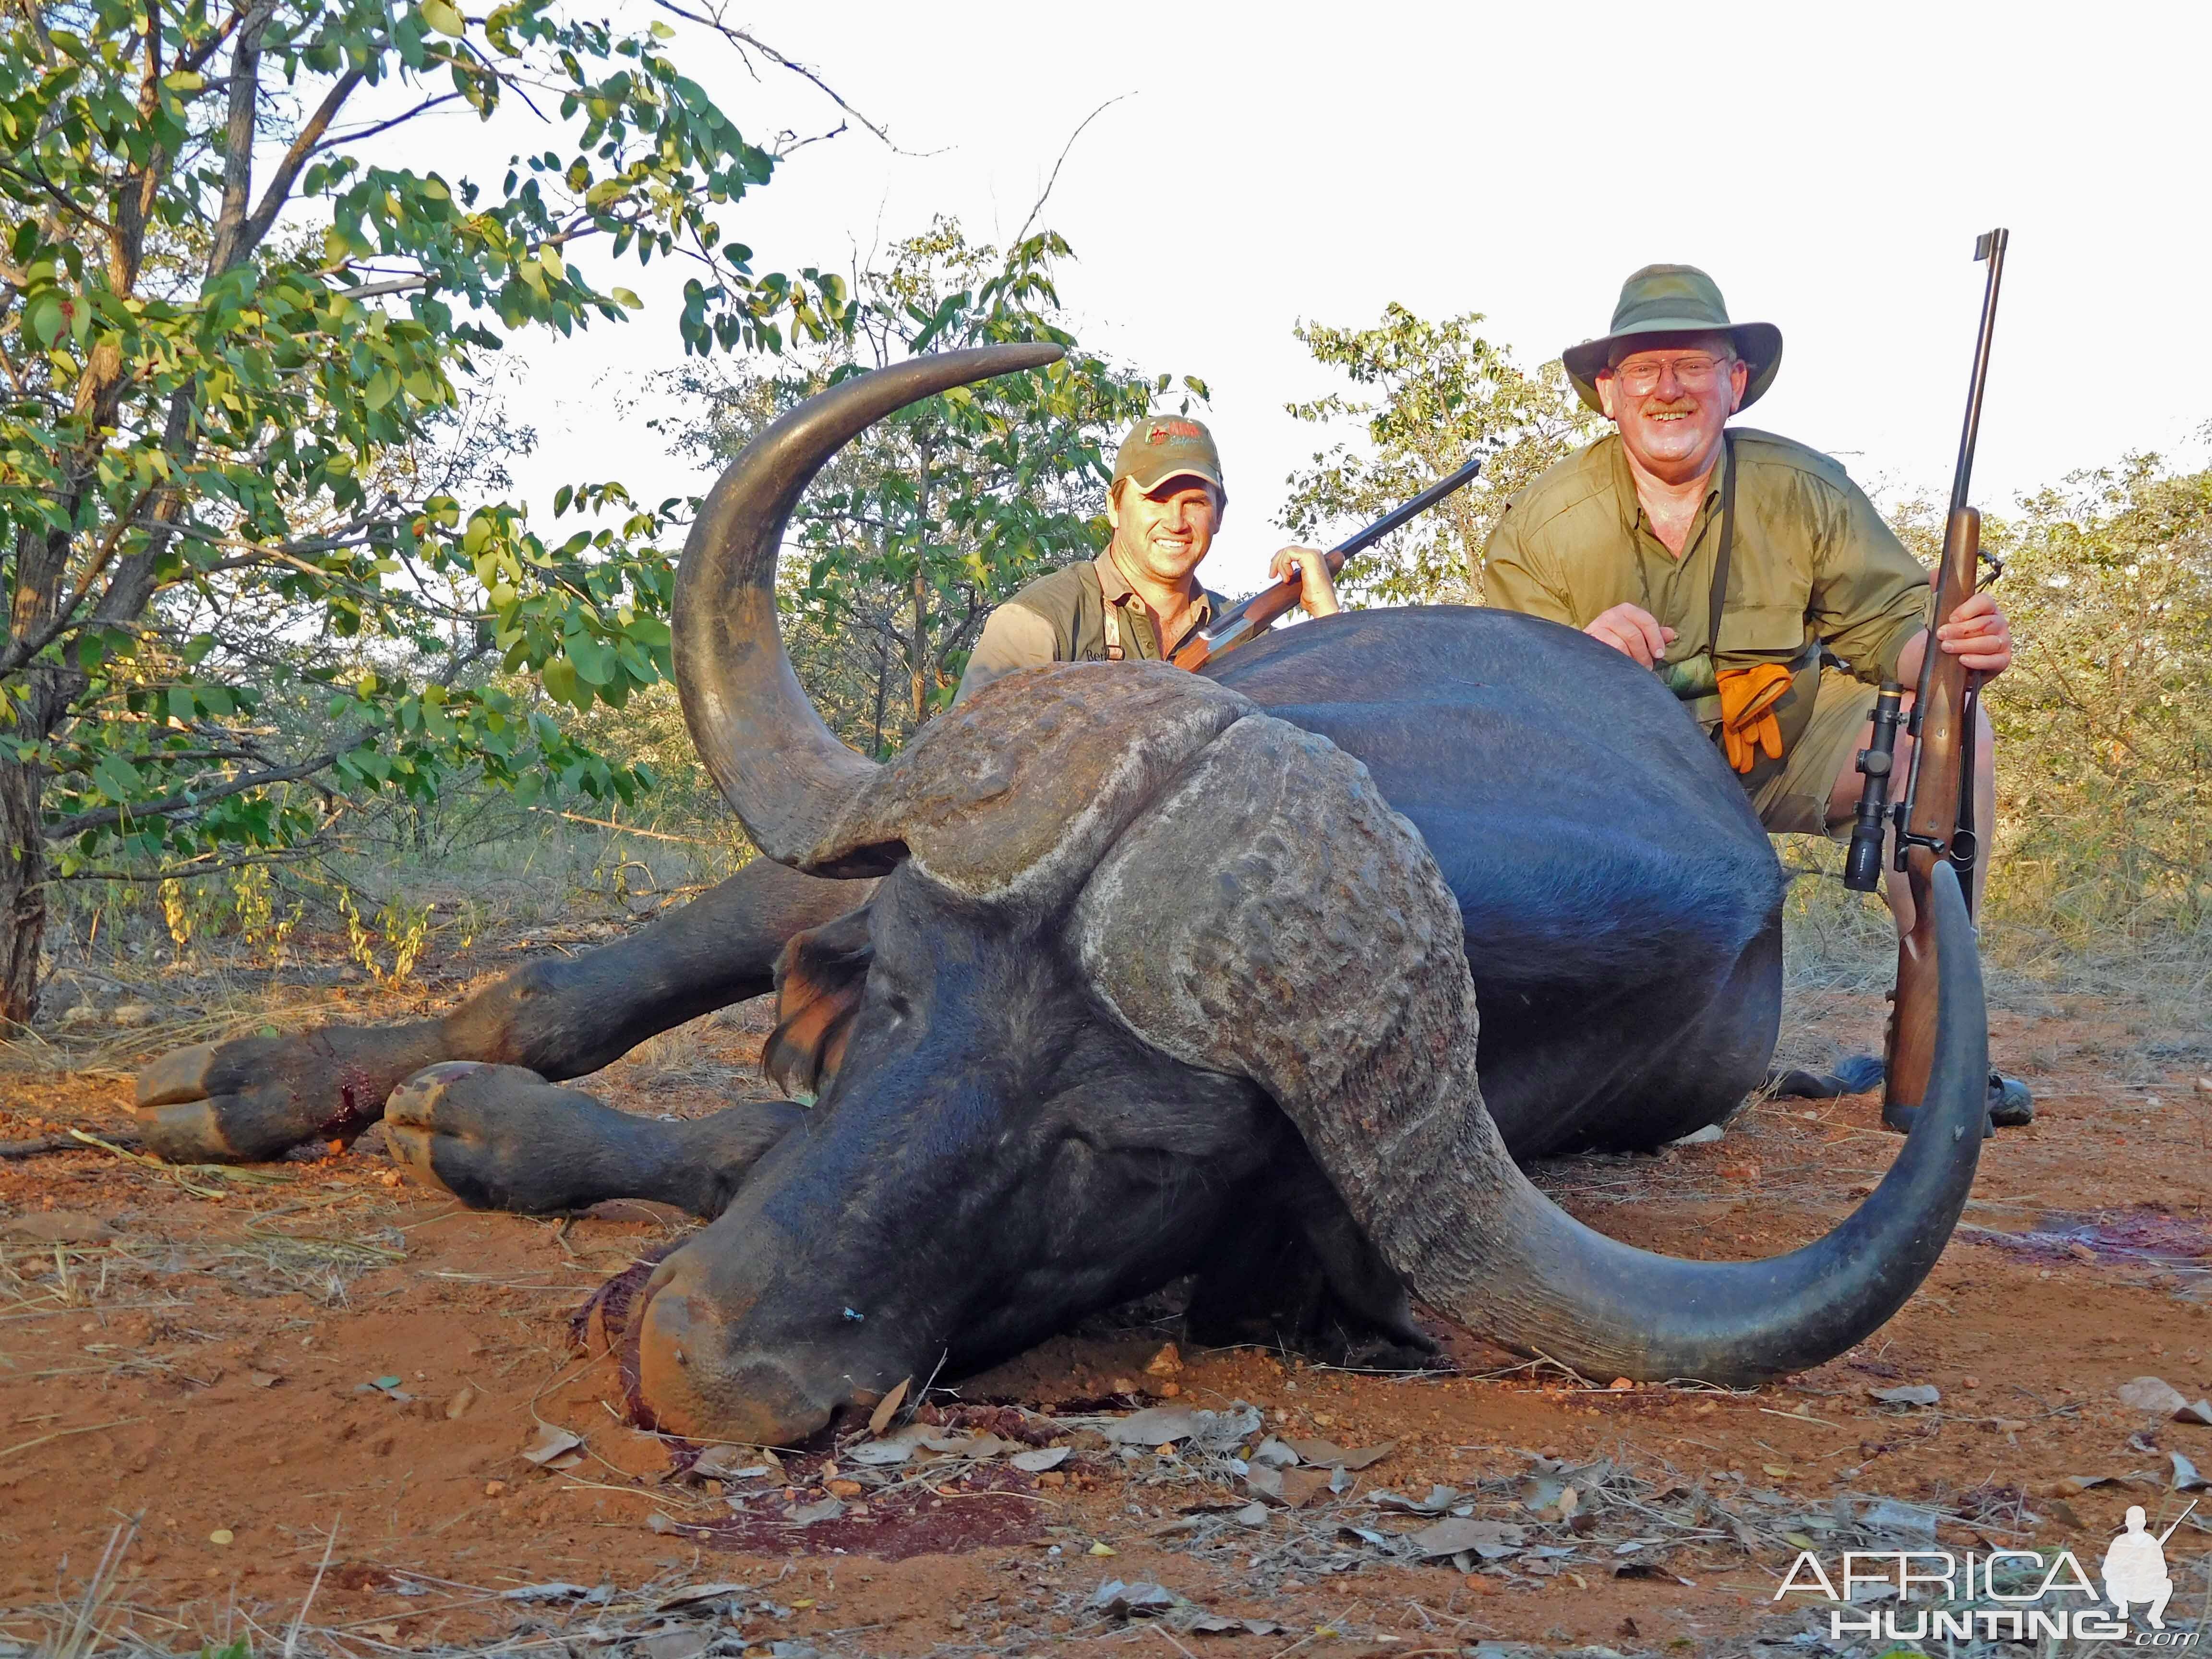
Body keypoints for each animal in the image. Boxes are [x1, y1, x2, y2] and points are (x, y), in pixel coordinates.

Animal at [133, 345, 1991, 1451]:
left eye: (1119, 1158)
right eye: (890, 994)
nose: (705, 1368)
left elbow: (741, 1141)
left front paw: (482, 1131)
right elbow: (574, 994)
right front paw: (286, 1086)